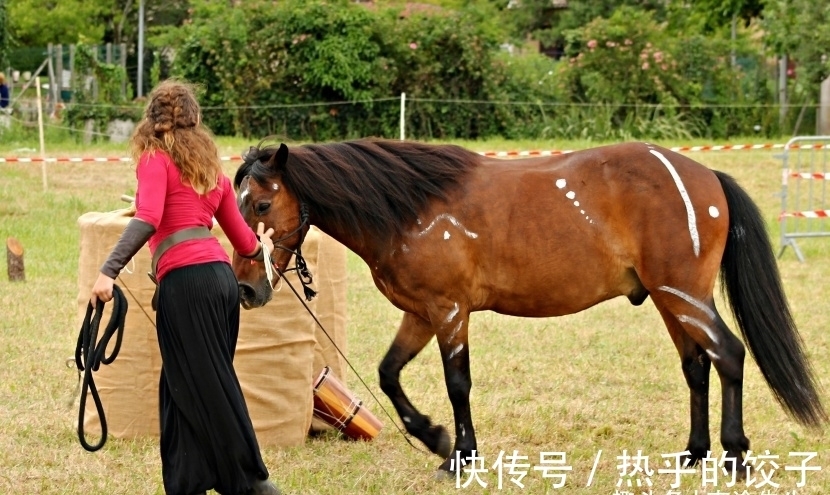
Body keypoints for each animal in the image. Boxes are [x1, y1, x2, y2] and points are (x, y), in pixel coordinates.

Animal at [231, 139, 828, 472]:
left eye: (259, 204)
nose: (247, 290)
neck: (409, 207)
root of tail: (706, 177)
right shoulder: (420, 313)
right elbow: (388, 374)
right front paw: (435, 437)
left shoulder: (449, 312)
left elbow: (458, 384)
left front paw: (460, 455)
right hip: (668, 300)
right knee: (697, 366)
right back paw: (695, 453)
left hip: (684, 295)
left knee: (728, 356)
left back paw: (733, 455)